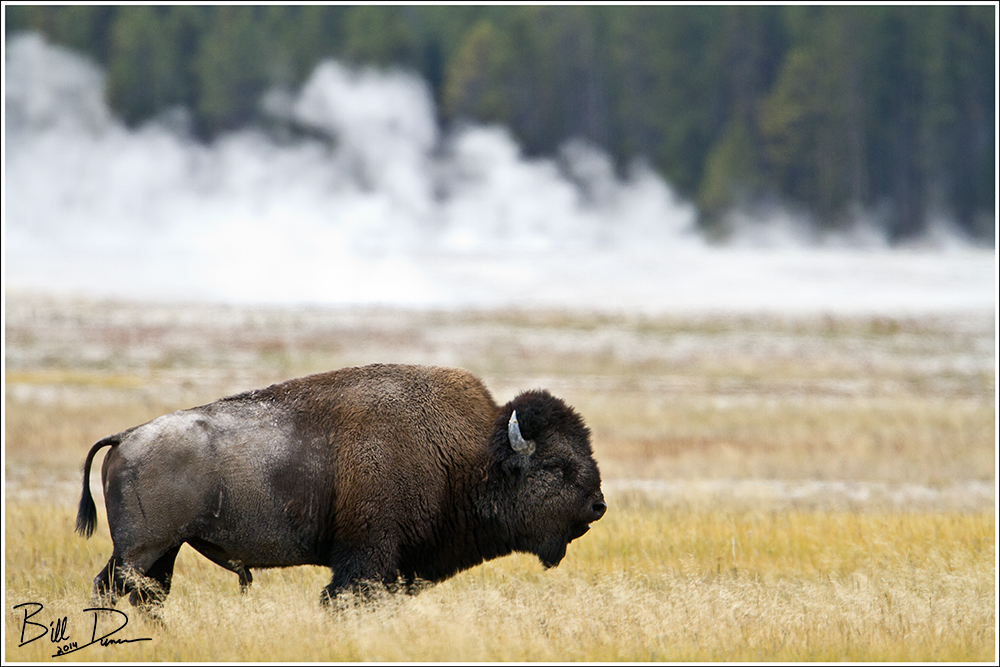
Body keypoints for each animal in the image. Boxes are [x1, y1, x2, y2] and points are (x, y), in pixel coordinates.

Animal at [76, 363, 606, 607]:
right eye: (557, 466)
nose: (597, 506)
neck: (467, 454)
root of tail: (126, 437)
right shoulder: (367, 556)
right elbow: (344, 596)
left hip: (164, 551)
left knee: (147, 595)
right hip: (143, 549)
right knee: (113, 589)